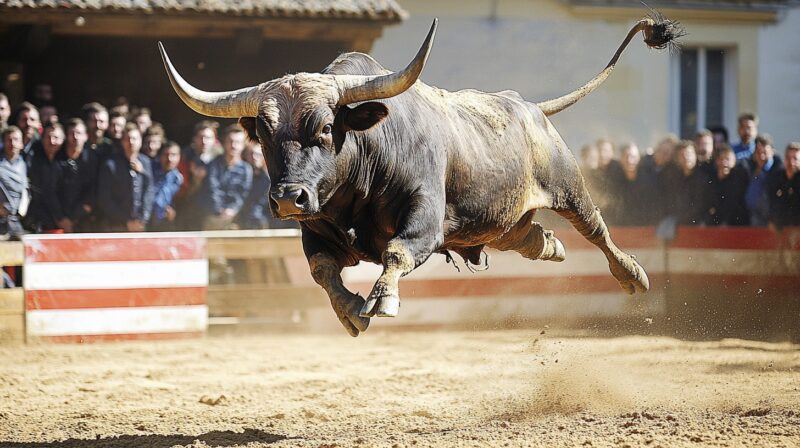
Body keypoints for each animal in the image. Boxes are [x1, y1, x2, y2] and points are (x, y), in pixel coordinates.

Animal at [161, 15, 680, 334]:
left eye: (326, 127)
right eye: (264, 134)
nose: (290, 198)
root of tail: (529, 107)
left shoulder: (425, 221)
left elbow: (396, 251)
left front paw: (383, 299)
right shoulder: (318, 231)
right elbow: (322, 270)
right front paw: (351, 310)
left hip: (567, 186)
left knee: (595, 227)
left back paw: (633, 274)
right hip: (498, 221)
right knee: (530, 236)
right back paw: (552, 247)